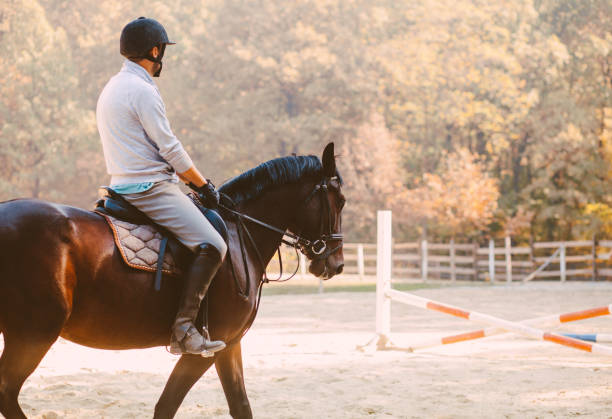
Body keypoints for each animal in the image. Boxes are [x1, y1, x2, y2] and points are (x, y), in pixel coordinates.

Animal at [0, 143, 344, 418]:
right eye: (339, 200)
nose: (336, 263)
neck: (239, 235)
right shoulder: (208, 347)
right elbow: (167, 405)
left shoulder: (230, 344)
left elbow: (240, 406)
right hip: (33, 334)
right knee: (7, 392)